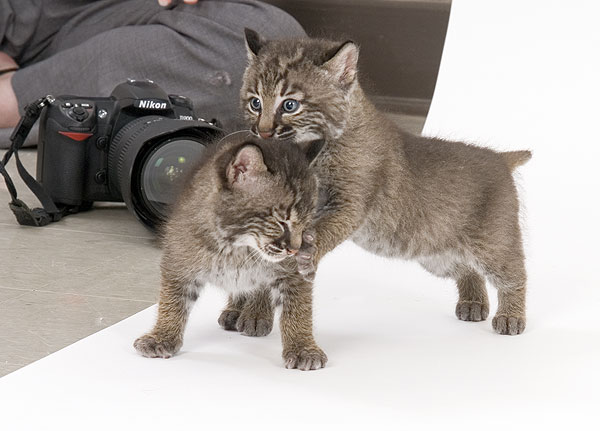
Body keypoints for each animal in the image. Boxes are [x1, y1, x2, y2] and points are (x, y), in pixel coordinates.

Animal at [134, 132, 328, 372]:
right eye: (281, 221)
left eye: (306, 222)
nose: (294, 249)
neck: (236, 247)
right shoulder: (178, 259)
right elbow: (172, 301)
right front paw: (162, 336)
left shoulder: (293, 271)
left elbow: (298, 310)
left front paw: (303, 348)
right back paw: (236, 310)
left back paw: (256, 312)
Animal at [232, 30, 532, 340]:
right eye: (255, 103)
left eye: (290, 105)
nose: (263, 132)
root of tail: (499, 157)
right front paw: (255, 313)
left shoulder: (350, 203)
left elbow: (321, 231)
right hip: (437, 253)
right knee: (467, 269)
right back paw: (473, 303)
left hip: (493, 241)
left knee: (514, 272)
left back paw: (511, 317)